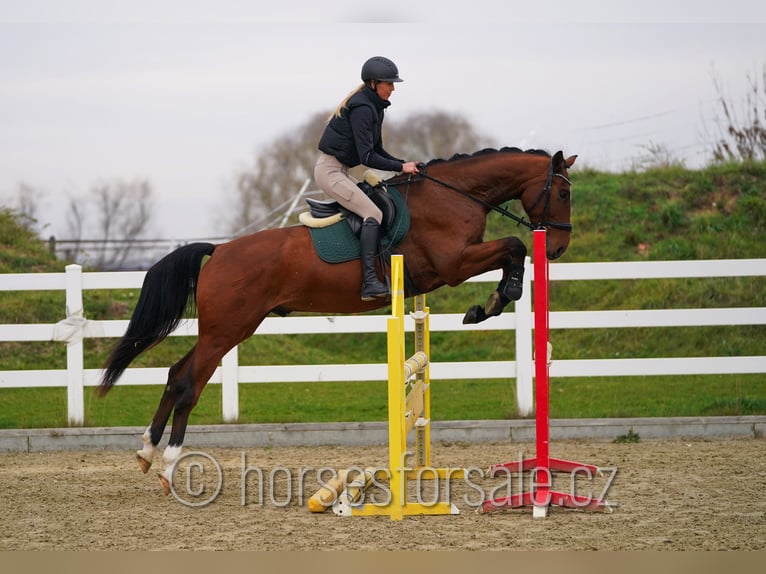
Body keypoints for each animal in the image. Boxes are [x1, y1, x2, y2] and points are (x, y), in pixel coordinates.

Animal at [97, 147, 576, 493]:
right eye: (563, 194)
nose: (556, 249)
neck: (455, 193)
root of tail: (218, 250)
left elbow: (513, 249)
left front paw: (490, 302)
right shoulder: (453, 264)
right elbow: (515, 245)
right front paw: (495, 300)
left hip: (228, 329)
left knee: (175, 375)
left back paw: (147, 452)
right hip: (226, 330)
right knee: (188, 384)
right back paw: (169, 467)